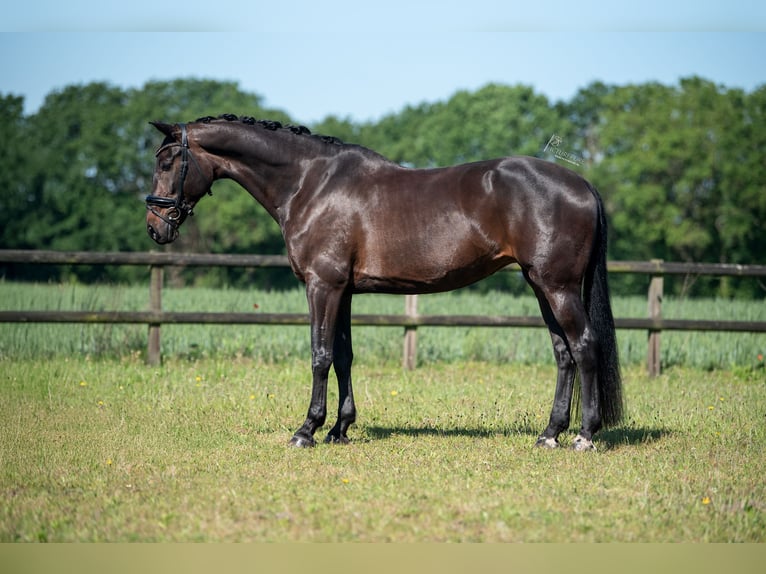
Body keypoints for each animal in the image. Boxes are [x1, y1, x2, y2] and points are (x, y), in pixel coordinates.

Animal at [145, 114, 623, 451]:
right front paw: (340, 429)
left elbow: (319, 355)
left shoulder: (322, 286)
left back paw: (584, 436)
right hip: (541, 285)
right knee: (563, 353)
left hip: (557, 287)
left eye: (167, 161)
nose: (154, 227)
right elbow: (343, 356)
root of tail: (581, 184)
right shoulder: (343, 291)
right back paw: (549, 433)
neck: (310, 183)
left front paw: (307, 429)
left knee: (584, 347)